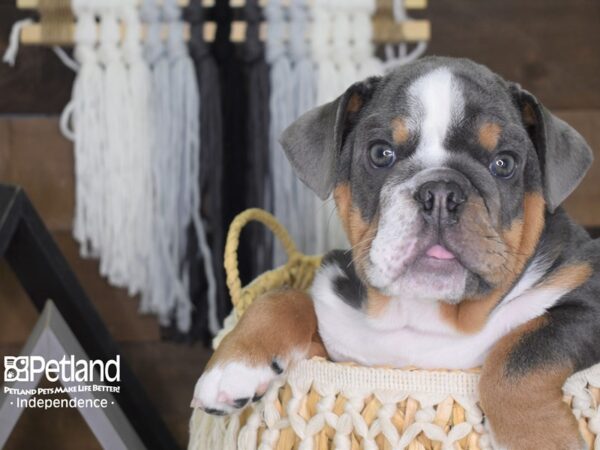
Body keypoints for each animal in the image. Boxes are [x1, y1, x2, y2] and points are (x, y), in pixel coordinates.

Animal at [193, 58, 600, 448]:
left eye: (504, 163)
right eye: (380, 153)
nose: (441, 192)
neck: (428, 315)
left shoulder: (586, 297)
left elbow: (520, 351)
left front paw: (540, 438)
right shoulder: (332, 337)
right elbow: (285, 297)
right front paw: (234, 363)